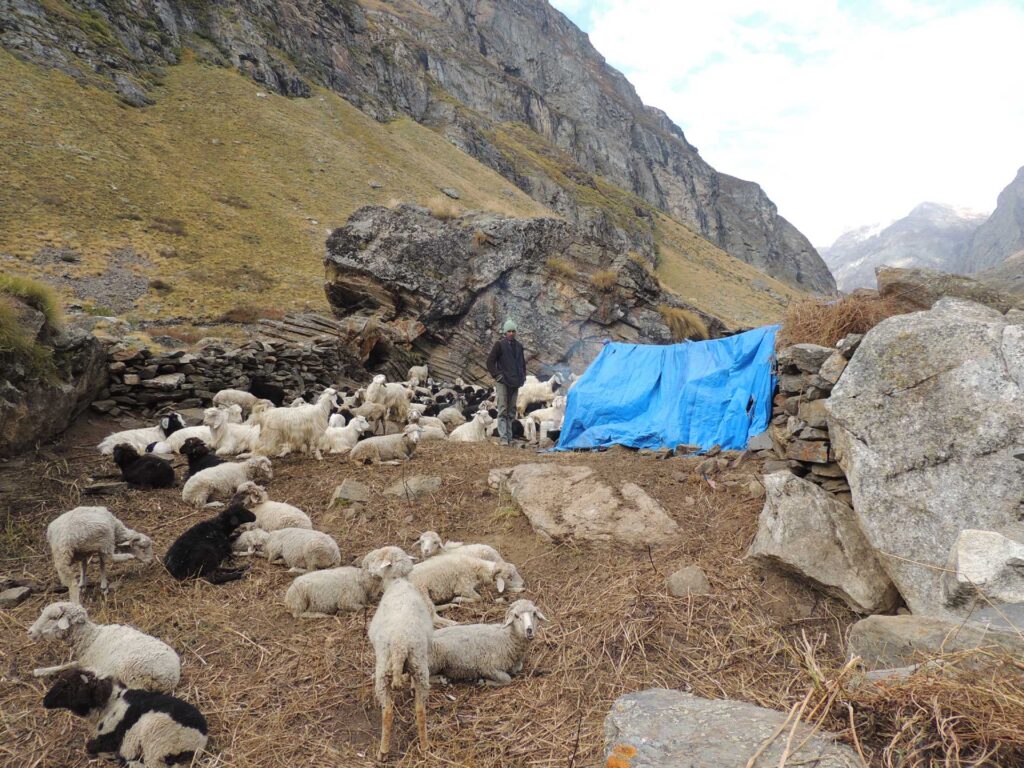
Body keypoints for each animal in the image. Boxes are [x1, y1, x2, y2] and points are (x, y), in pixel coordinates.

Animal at [29, 606, 181, 696]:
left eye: (53, 618)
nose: (29, 632)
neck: (91, 638)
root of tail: (172, 677)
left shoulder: (89, 661)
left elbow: (70, 665)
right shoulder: (86, 660)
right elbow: (70, 664)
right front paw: (41, 671)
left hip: (131, 672)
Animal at [364, 548, 432, 761]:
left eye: (378, 559)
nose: (368, 569)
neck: (397, 582)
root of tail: (400, 643)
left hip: (383, 671)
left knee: (388, 713)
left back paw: (383, 751)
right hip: (420, 666)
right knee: (420, 710)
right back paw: (424, 746)